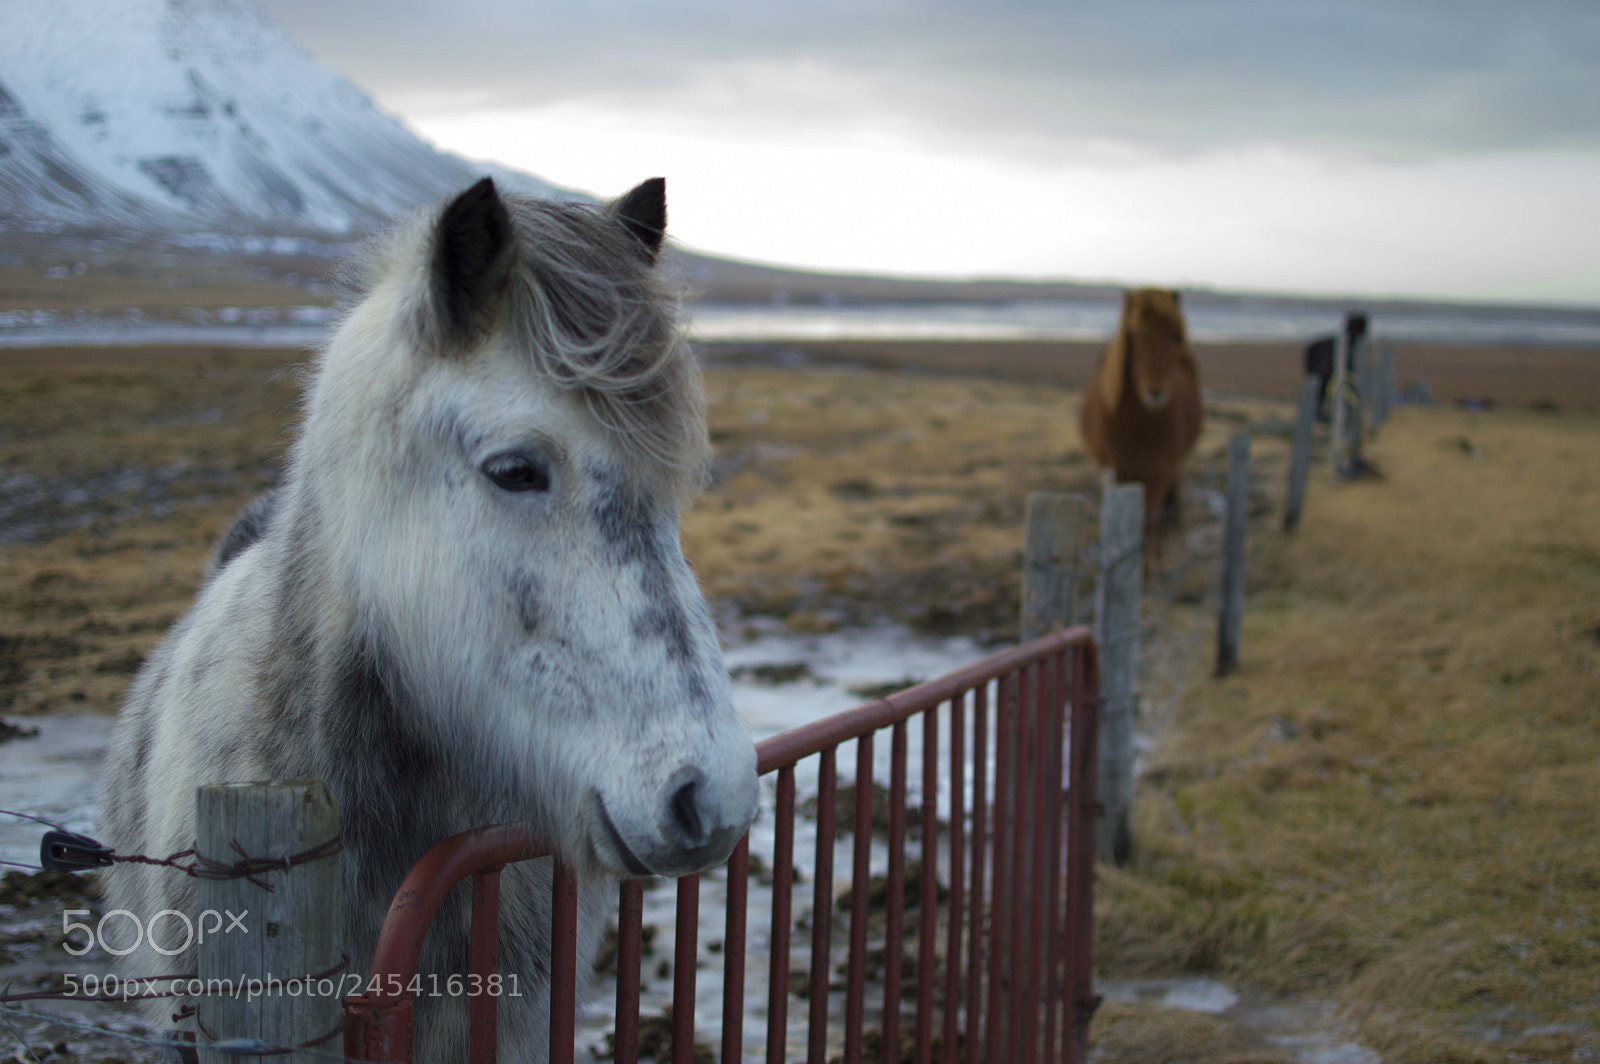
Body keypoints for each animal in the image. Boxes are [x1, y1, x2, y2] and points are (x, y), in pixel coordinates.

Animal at [1077, 287, 1202, 572]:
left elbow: (1149, 526)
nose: (1156, 391)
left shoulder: (1159, 473)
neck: (1136, 429)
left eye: (1175, 336)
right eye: (1134, 335)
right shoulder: (1114, 473)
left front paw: (1145, 572)